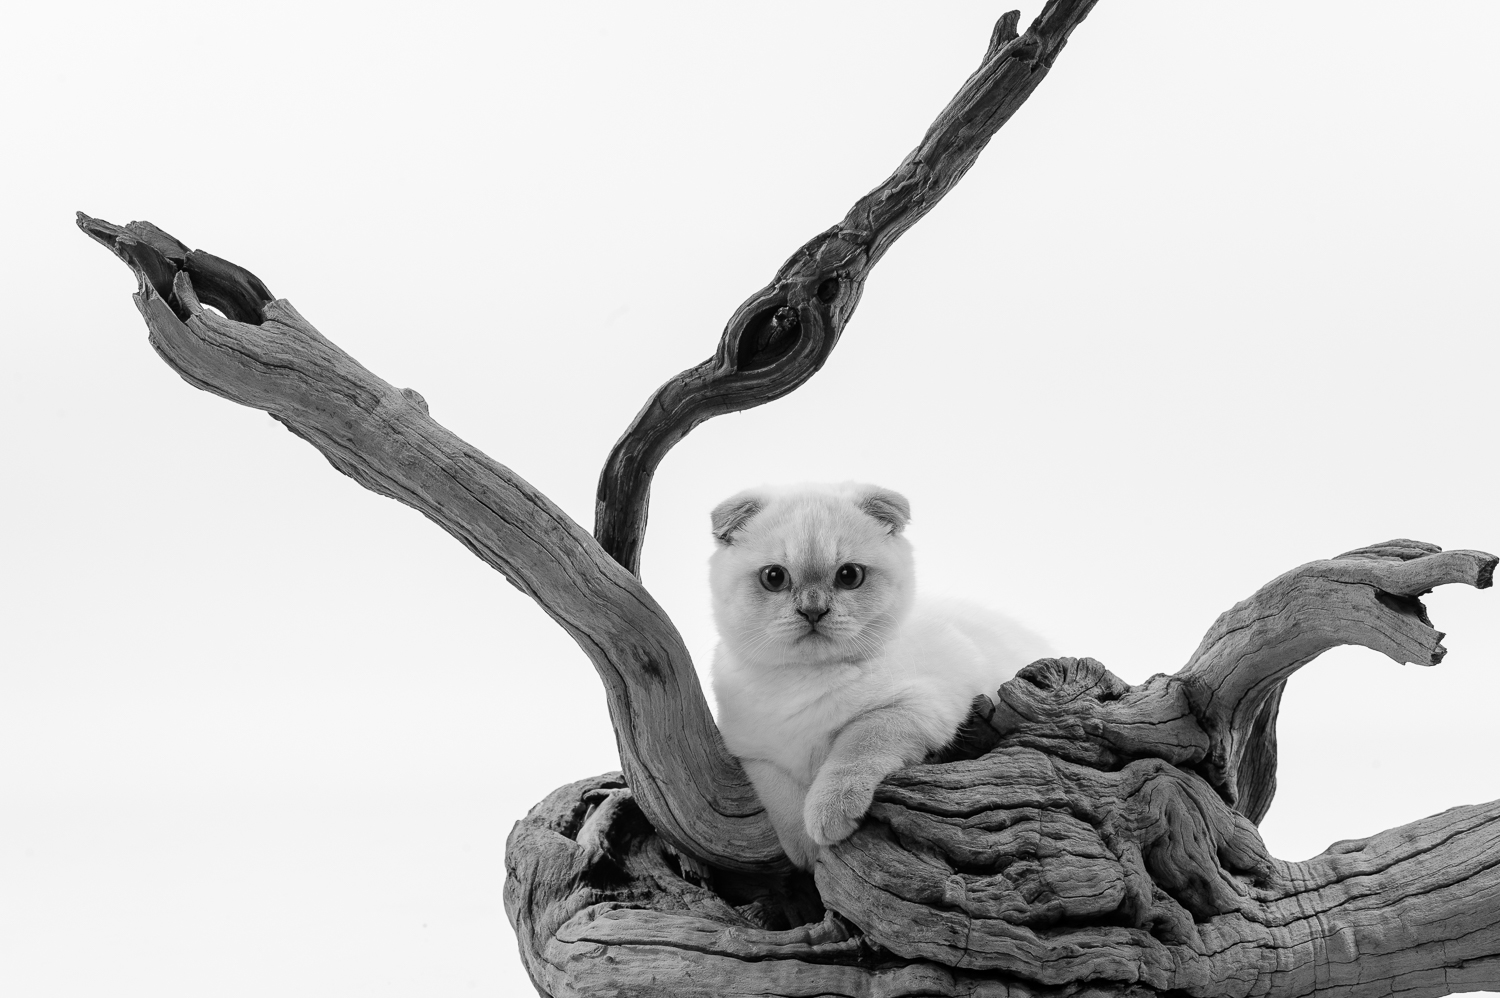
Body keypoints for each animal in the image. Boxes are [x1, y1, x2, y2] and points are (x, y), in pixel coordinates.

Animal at [708, 480, 1050, 864]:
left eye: (849, 576)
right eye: (774, 577)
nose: (813, 611)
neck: (805, 679)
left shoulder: (914, 706)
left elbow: (856, 745)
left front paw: (829, 812)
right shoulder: (751, 752)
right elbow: (781, 797)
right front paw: (808, 850)